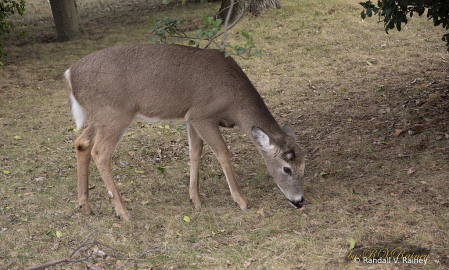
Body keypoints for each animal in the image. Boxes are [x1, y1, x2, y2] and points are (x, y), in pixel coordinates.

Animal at [65, 43, 304, 219]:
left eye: (304, 166)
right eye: (286, 169)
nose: (299, 201)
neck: (234, 102)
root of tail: (69, 75)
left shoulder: (191, 117)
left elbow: (195, 153)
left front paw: (195, 199)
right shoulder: (202, 114)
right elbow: (222, 152)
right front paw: (241, 200)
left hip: (101, 117)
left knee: (82, 143)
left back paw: (85, 206)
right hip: (115, 114)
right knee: (100, 153)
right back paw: (122, 212)